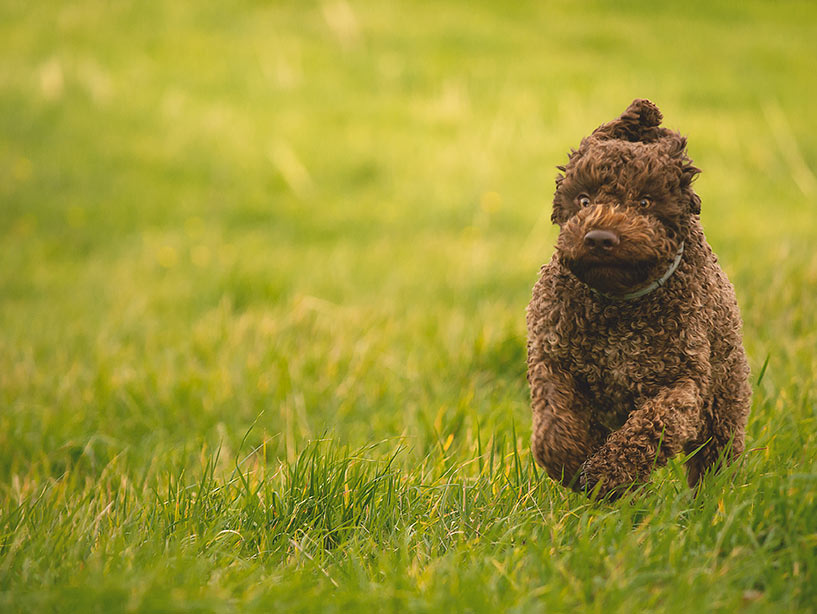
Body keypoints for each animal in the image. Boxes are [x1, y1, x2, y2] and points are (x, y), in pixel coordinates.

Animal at [524, 97, 748, 500]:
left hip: (723, 402)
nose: (599, 238)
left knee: (714, 458)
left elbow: (649, 426)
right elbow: (553, 428)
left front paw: (608, 472)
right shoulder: (553, 360)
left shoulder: (683, 381)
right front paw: (572, 465)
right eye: (584, 200)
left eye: (644, 201)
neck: (619, 304)